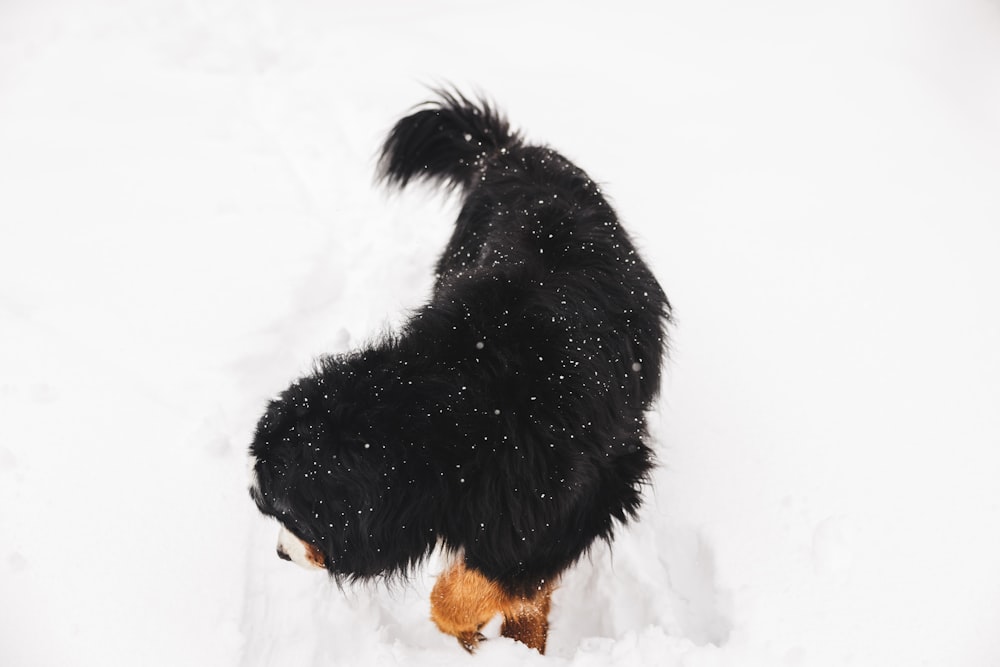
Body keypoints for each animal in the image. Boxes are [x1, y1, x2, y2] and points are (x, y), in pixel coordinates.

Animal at [249, 91, 672, 656]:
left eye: (285, 512)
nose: (279, 553)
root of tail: (510, 152)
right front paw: (510, 641)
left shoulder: (586, 481)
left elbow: (484, 577)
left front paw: (495, 638)